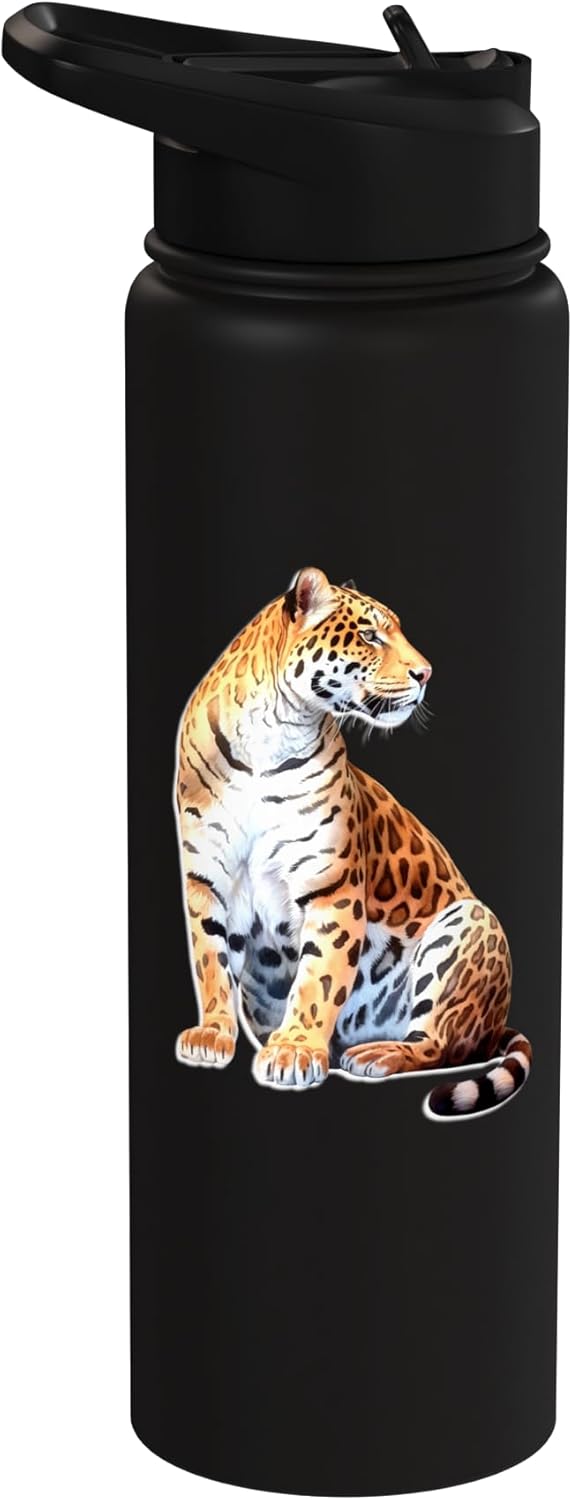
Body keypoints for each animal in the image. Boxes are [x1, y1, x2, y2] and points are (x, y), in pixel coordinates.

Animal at [174, 566, 531, 1118]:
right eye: (369, 635)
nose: (426, 674)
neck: (268, 736)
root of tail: (495, 1026)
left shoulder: (331, 888)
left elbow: (318, 978)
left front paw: (295, 1049)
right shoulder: (205, 880)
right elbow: (211, 961)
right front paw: (212, 1034)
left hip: (472, 923)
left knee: (441, 1043)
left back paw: (378, 1054)